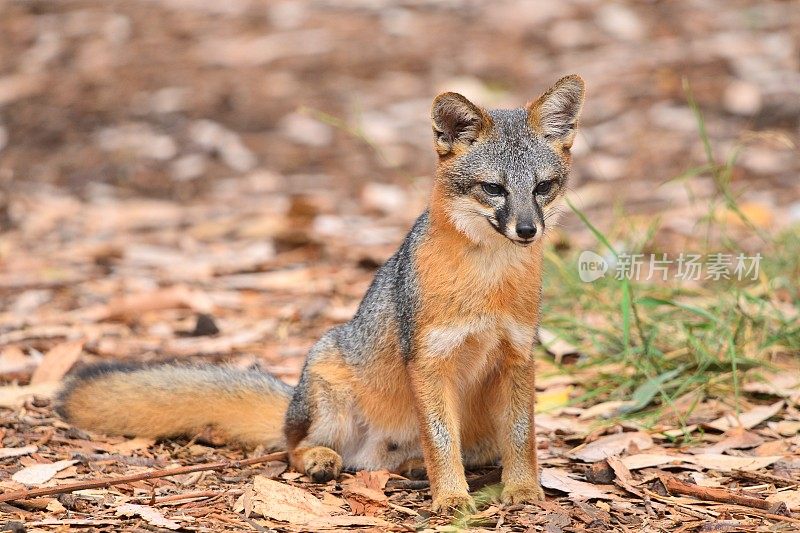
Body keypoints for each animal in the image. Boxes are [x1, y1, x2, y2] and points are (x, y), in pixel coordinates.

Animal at [54, 74, 580, 512]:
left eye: (543, 187)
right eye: (493, 188)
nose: (528, 230)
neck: (488, 283)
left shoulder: (517, 355)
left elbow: (521, 437)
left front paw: (522, 490)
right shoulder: (428, 360)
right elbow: (440, 440)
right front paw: (452, 499)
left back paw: (411, 467)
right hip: (329, 394)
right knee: (294, 448)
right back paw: (322, 460)